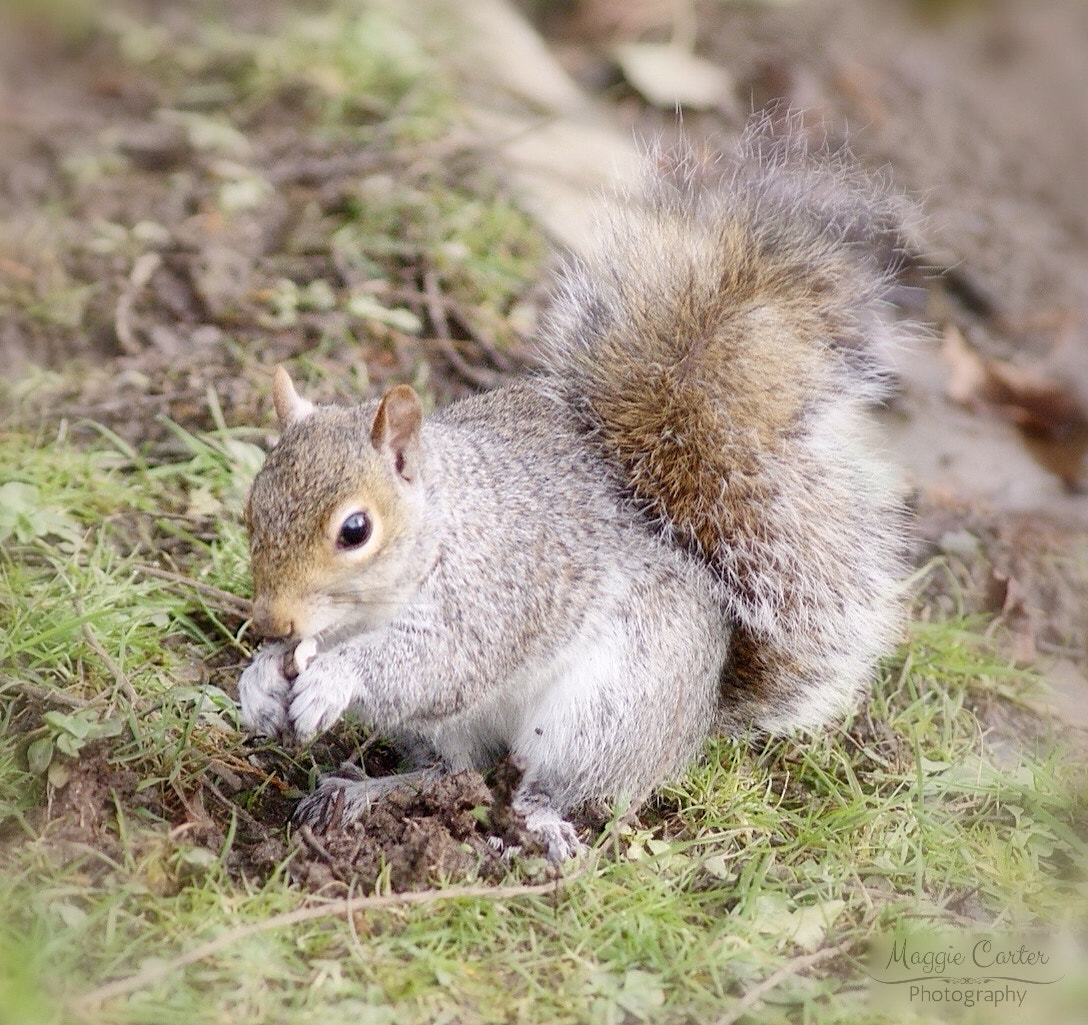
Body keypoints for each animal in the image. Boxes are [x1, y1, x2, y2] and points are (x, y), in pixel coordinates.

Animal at [238, 118, 918, 857]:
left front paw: (335, 676)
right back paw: (360, 792)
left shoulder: (496, 593)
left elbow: (439, 662)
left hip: (605, 713)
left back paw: (538, 827)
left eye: (355, 530)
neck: (442, 528)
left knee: (558, 787)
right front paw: (259, 680)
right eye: (251, 511)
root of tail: (697, 720)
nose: (270, 621)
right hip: (451, 728)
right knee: (449, 770)